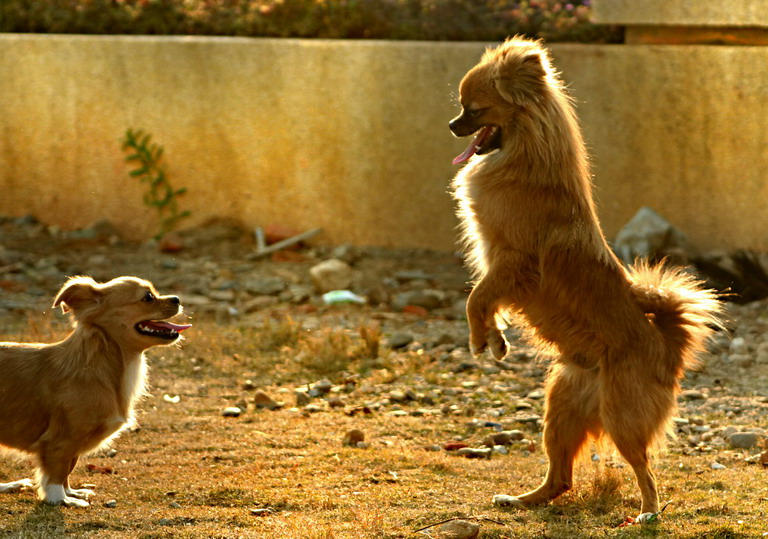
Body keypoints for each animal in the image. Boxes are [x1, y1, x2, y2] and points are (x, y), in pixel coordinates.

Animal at [0, 276, 190, 508]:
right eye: (148, 297)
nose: (177, 298)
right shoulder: (60, 441)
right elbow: (56, 474)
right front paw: (61, 499)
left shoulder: (72, 445)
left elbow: (68, 469)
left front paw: (71, 492)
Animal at [448, 37, 724, 520]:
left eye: (474, 109)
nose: (450, 124)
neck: (525, 154)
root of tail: (667, 348)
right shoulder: (497, 266)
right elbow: (482, 302)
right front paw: (497, 341)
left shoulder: (511, 264)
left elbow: (476, 299)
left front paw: (482, 340)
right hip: (561, 406)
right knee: (561, 478)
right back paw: (522, 500)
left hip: (620, 416)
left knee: (643, 469)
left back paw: (648, 511)